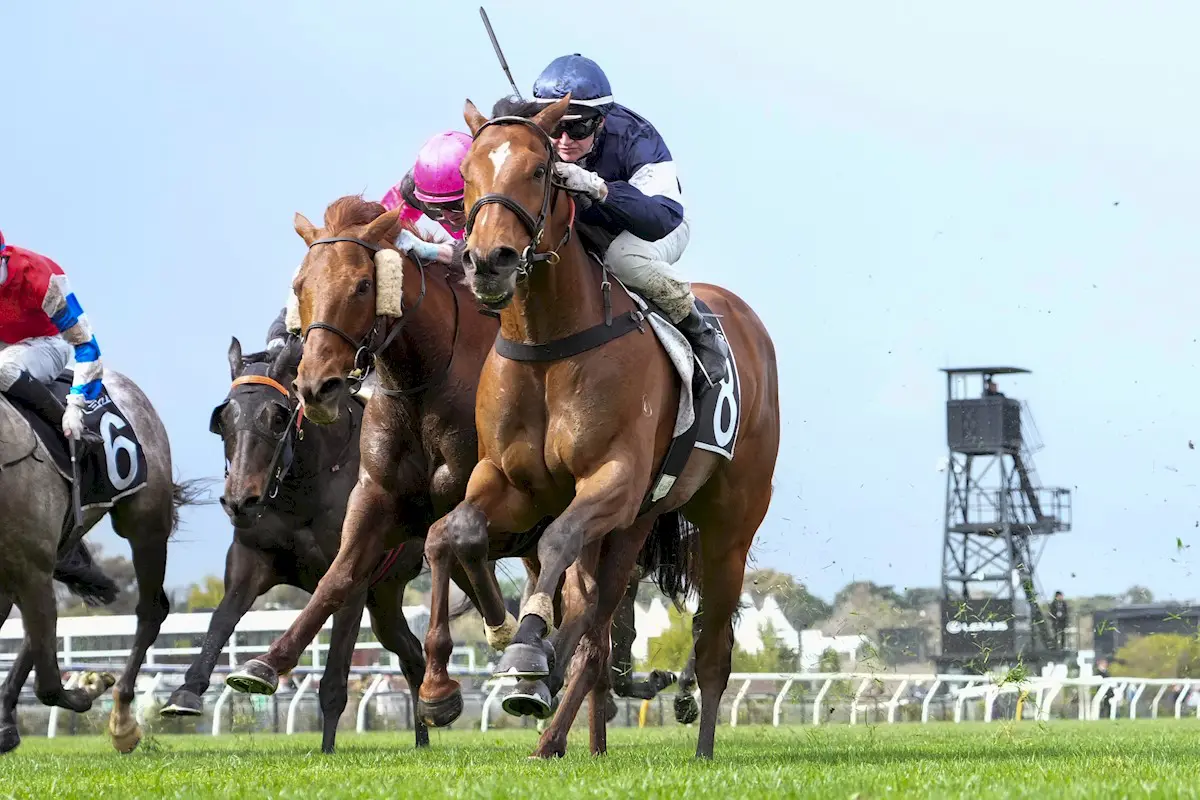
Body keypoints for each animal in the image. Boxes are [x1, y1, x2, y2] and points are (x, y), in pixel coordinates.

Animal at [0, 371, 208, 753]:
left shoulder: (31, 566)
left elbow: (49, 685)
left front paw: (88, 687)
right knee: (35, 633)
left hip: (144, 525)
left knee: (151, 610)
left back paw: (122, 720)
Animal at [160, 340, 436, 753]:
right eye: (223, 419)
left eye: (278, 418)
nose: (239, 500)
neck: (301, 491)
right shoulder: (251, 561)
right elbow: (221, 620)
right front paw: (186, 692)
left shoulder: (353, 576)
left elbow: (335, 672)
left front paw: (327, 748)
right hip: (385, 598)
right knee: (411, 653)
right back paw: (423, 736)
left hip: (389, 583)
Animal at [417, 97, 782, 762]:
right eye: (468, 175)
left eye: (540, 171)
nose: (487, 262)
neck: (550, 343)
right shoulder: (507, 480)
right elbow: (450, 534)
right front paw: (441, 683)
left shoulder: (611, 479)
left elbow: (555, 541)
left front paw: (526, 647)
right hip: (634, 525)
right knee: (597, 624)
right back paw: (552, 724)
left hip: (727, 523)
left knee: (709, 646)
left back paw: (696, 742)